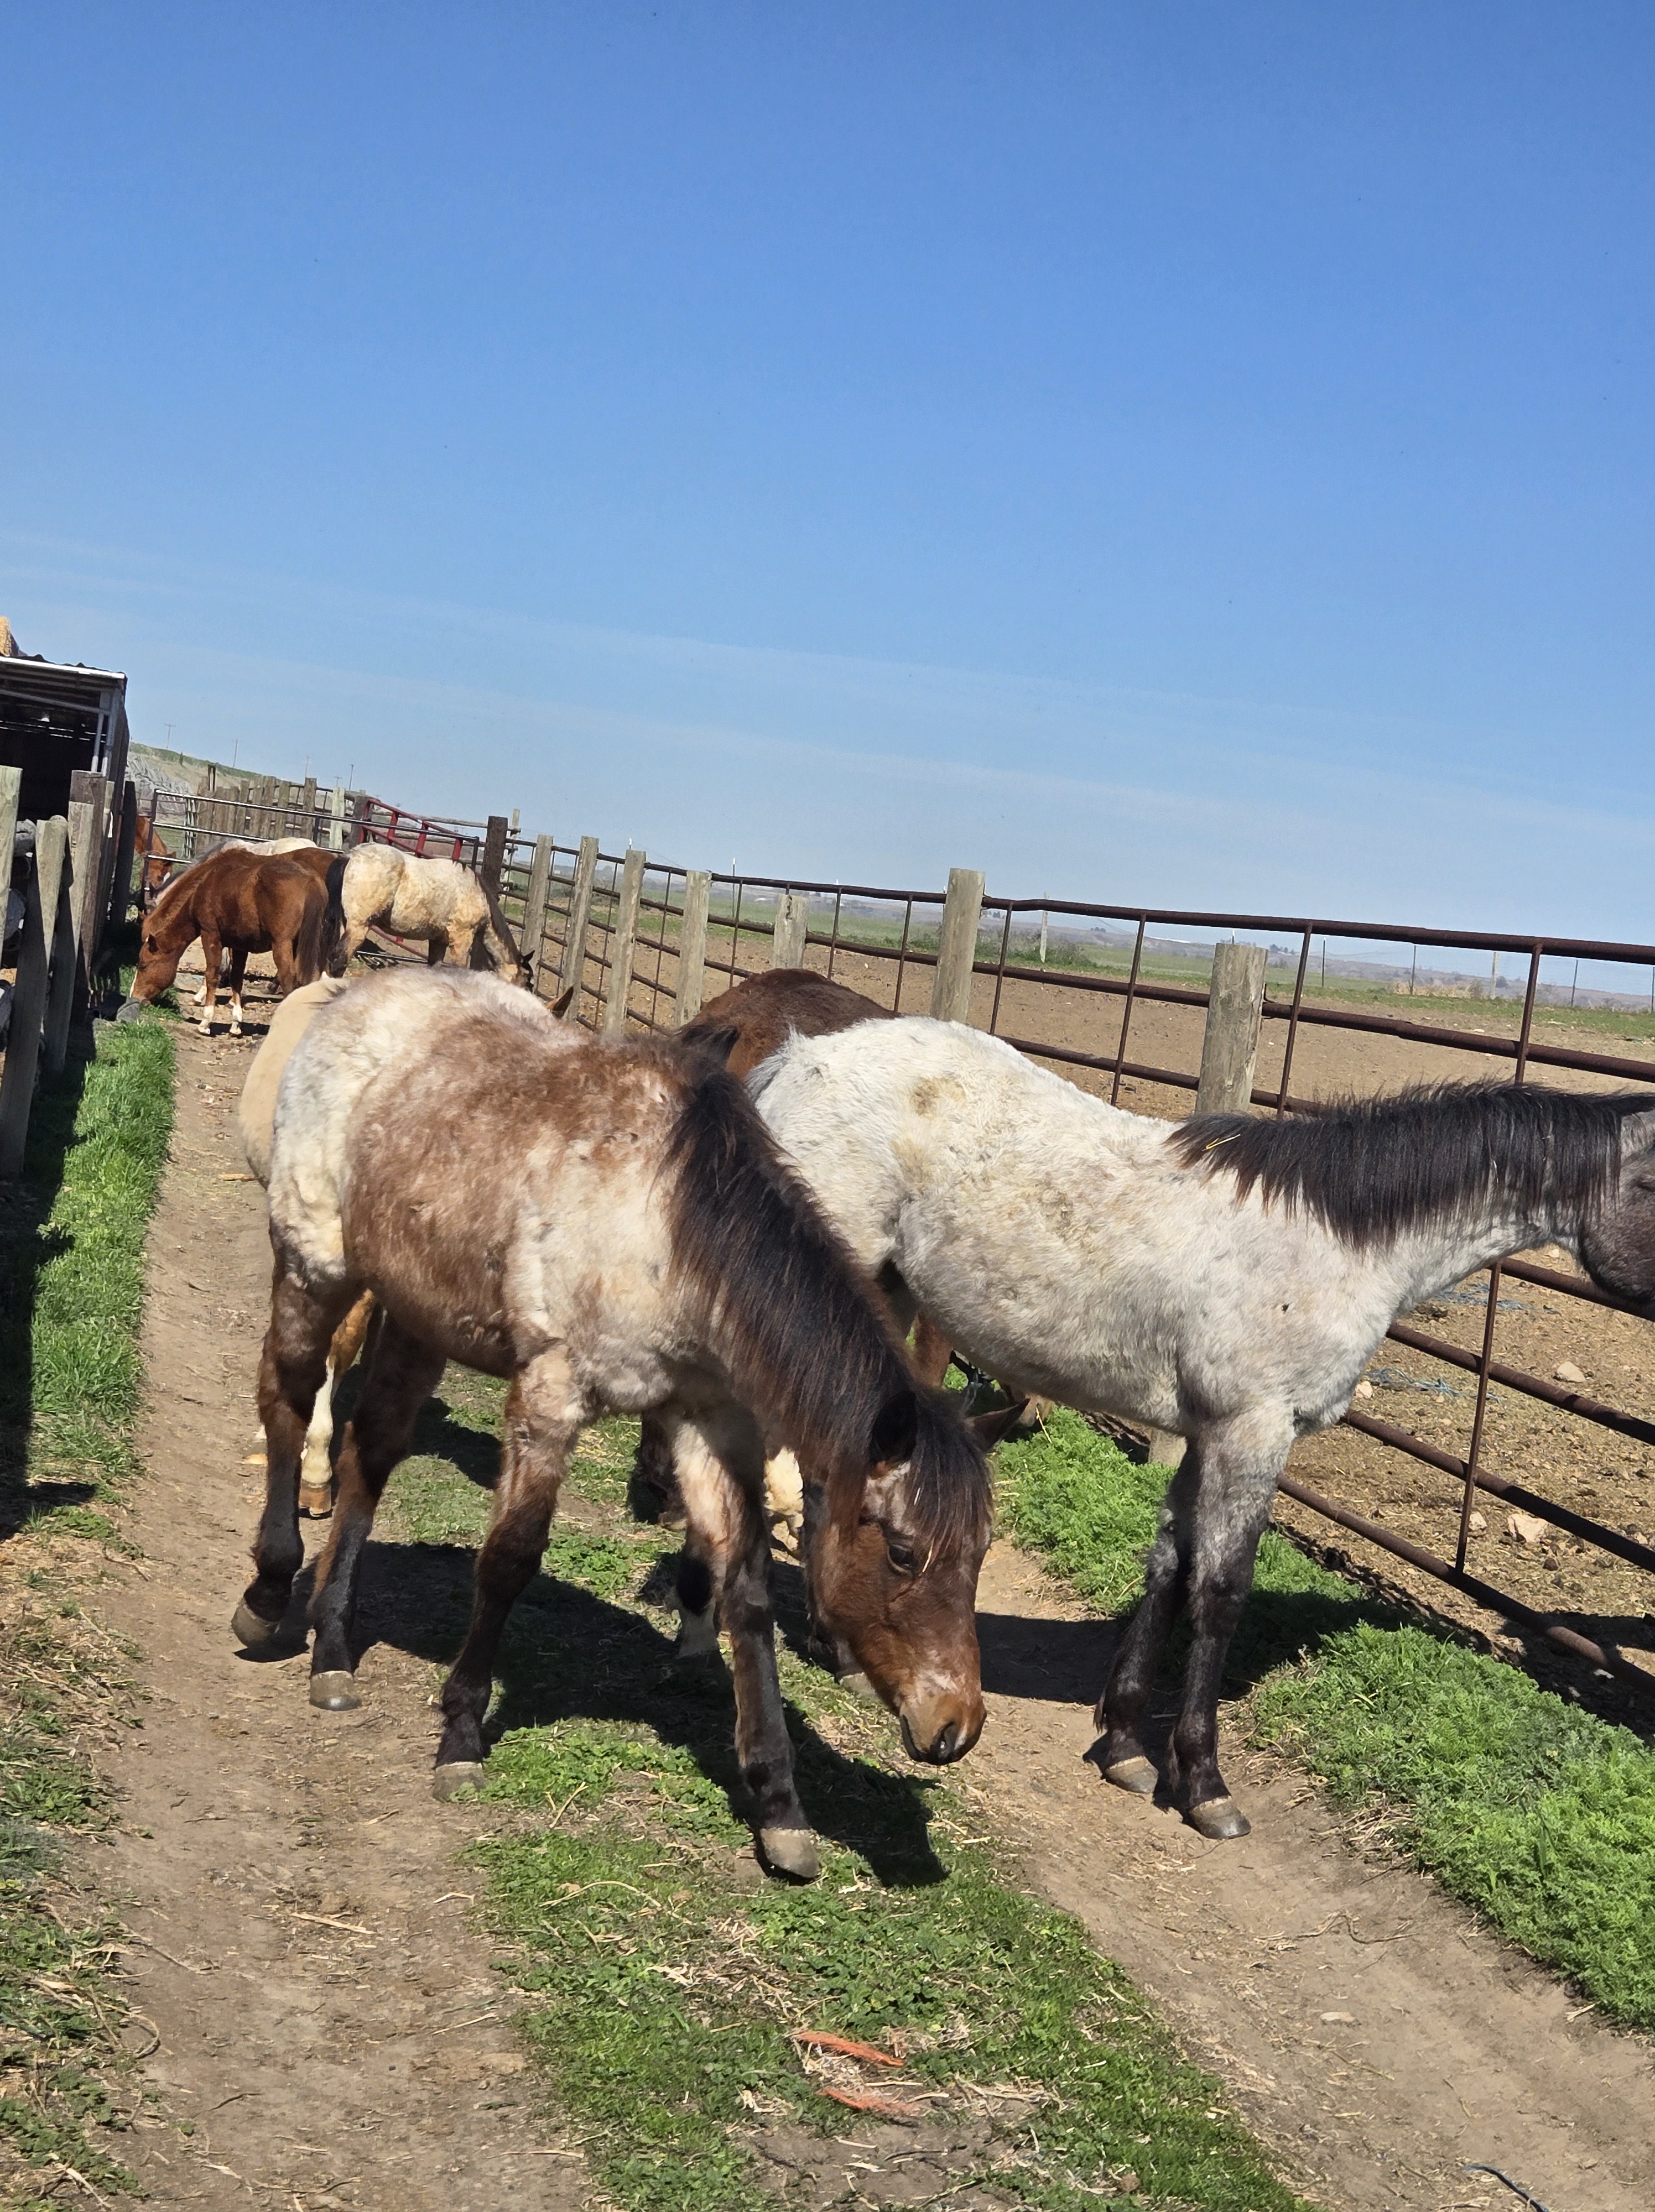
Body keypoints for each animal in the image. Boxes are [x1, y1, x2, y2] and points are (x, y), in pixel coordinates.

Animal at [116, 847, 342, 1035]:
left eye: (143, 966)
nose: (134, 997)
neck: (206, 884)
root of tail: (311, 880)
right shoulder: (240, 945)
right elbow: (236, 979)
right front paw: (236, 1023)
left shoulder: (211, 936)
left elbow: (212, 975)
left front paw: (206, 1021)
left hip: (283, 946)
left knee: (289, 980)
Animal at [234, 967, 993, 1878]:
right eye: (905, 1552)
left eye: (979, 1558)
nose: (955, 1727)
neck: (667, 1227)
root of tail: (353, 992)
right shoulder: (550, 1398)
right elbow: (509, 1560)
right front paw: (461, 1733)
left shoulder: (710, 1422)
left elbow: (746, 1594)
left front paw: (779, 1803)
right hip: (316, 1262)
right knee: (288, 1396)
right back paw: (269, 1591)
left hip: (419, 1315)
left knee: (372, 1452)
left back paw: (333, 1648)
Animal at [329, 844, 521, 980]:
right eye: (525, 982)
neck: (477, 894)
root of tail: (352, 856)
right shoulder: (462, 938)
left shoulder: (438, 941)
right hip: (359, 927)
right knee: (339, 960)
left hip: (345, 923)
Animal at [748, 1016, 1655, 1840]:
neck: (1335, 1244)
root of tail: (801, 1056)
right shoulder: (1253, 1434)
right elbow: (1220, 1592)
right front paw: (1203, 1785)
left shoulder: (1207, 1433)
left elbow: (1169, 1567)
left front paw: (1122, 1745)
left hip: (884, 1296)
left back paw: (839, 1645)